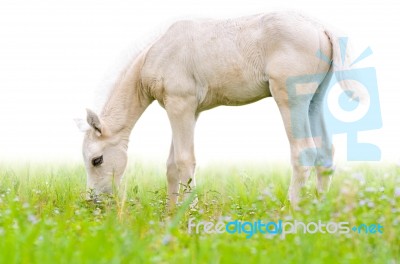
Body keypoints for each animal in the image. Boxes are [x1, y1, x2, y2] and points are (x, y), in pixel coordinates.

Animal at [76, 11, 352, 207]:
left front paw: (191, 212)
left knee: (303, 152)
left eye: (97, 160)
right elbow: (172, 165)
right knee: (325, 152)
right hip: (313, 100)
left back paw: (292, 211)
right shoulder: (189, 111)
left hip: (290, 99)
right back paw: (318, 210)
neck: (155, 55)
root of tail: (320, 28)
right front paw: (171, 214)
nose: (93, 201)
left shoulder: (180, 105)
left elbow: (185, 160)